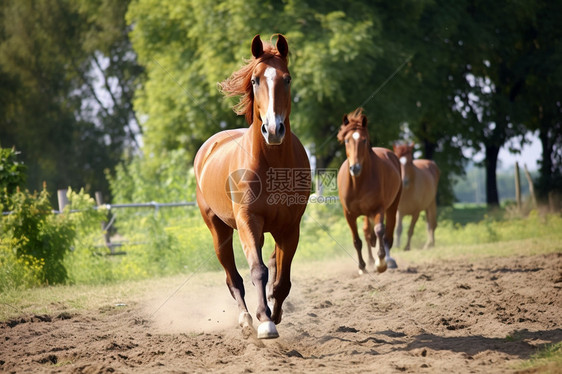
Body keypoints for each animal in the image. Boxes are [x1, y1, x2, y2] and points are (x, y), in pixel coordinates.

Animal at [194, 34, 310, 338]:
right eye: (256, 80)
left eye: (287, 79)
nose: (273, 130)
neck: (273, 163)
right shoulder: (248, 220)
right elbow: (258, 270)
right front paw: (265, 321)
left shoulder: (289, 227)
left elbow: (282, 279)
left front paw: (275, 313)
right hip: (219, 231)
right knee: (233, 277)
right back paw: (246, 318)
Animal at [334, 108, 400, 274]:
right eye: (346, 140)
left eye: (364, 140)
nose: (355, 168)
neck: (358, 184)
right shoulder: (349, 215)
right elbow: (357, 240)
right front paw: (362, 267)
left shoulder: (378, 209)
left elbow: (379, 230)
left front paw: (380, 263)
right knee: (366, 233)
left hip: (392, 206)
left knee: (387, 234)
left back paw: (389, 261)